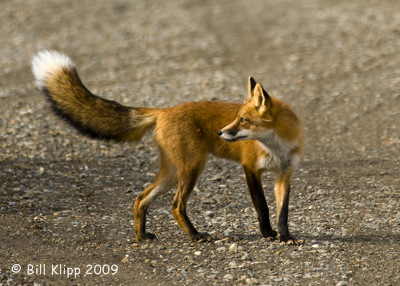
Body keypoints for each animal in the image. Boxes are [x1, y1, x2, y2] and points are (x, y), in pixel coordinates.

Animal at [32, 50, 304, 245]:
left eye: (244, 120)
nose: (220, 132)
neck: (277, 147)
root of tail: (164, 110)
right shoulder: (250, 169)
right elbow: (263, 207)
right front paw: (267, 233)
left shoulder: (284, 174)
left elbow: (283, 211)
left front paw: (285, 236)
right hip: (191, 169)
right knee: (175, 206)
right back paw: (195, 236)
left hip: (173, 172)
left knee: (141, 198)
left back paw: (142, 237)